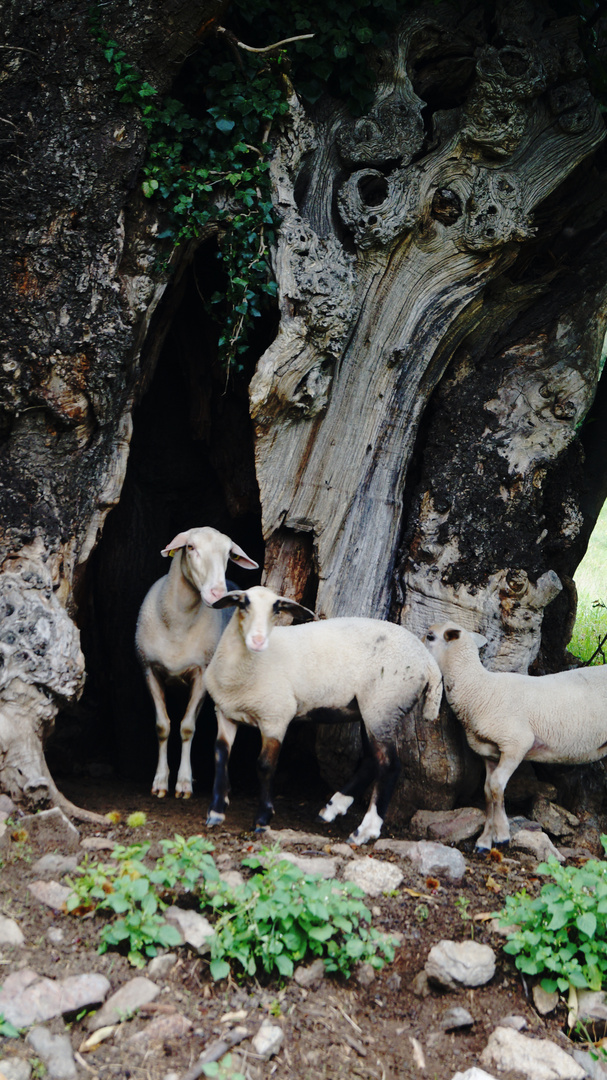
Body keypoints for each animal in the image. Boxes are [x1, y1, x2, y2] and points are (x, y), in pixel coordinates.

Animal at [134, 527, 257, 799]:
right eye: (190, 547)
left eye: (229, 554)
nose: (217, 594)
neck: (178, 625)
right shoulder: (149, 670)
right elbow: (162, 726)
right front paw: (160, 782)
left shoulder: (202, 674)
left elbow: (187, 728)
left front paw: (183, 783)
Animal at [201, 583, 438, 842]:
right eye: (243, 603)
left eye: (276, 609)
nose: (258, 641)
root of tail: (429, 662)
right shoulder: (224, 712)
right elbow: (220, 755)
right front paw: (215, 811)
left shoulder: (276, 717)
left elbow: (264, 766)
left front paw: (263, 819)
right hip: (371, 709)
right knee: (370, 760)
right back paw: (332, 809)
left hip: (384, 704)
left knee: (389, 765)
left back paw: (364, 830)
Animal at [423, 626, 604, 851]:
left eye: (430, 636)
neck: (478, 689)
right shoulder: (489, 752)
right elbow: (488, 791)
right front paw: (484, 841)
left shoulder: (517, 743)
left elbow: (497, 785)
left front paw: (501, 834)